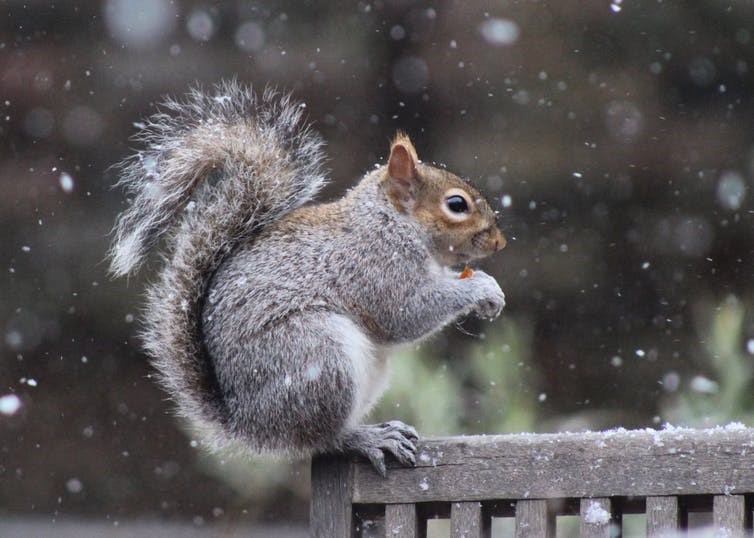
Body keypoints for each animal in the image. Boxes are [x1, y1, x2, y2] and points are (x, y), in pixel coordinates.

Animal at [109, 81, 506, 477]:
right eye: (456, 205)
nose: (499, 242)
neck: (391, 222)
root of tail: (248, 422)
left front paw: (491, 292)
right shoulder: (373, 266)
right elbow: (407, 314)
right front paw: (479, 287)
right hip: (316, 358)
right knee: (321, 439)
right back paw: (368, 437)